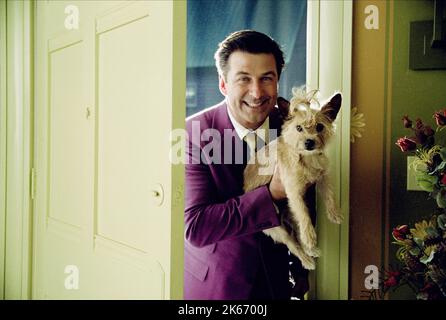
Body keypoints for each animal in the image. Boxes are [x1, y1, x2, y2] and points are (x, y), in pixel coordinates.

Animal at [244, 89, 342, 268]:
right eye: (298, 128)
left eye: (319, 127)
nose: (309, 142)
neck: (307, 157)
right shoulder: (293, 192)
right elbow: (304, 214)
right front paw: (310, 237)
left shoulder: (323, 177)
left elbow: (329, 194)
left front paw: (334, 213)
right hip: (278, 229)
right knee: (292, 242)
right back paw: (307, 259)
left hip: (290, 213)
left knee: (297, 231)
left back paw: (311, 250)